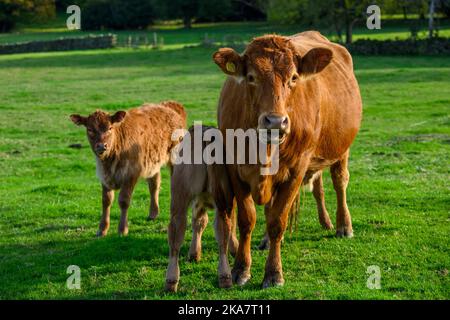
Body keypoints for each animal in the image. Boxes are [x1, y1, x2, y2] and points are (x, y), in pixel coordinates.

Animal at [69, 101, 185, 236]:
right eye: (90, 129)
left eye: (110, 128)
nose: (102, 146)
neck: (109, 162)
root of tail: (168, 105)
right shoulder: (104, 176)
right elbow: (106, 201)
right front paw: (102, 229)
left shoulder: (131, 174)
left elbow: (124, 201)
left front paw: (122, 229)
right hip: (153, 162)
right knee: (154, 184)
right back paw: (153, 213)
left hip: (176, 159)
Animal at [213, 31, 364, 288]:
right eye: (251, 77)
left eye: (293, 77)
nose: (275, 122)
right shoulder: (235, 167)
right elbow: (247, 219)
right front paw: (241, 268)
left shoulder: (296, 168)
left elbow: (277, 221)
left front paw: (273, 273)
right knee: (316, 188)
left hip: (341, 148)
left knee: (339, 182)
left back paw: (343, 225)